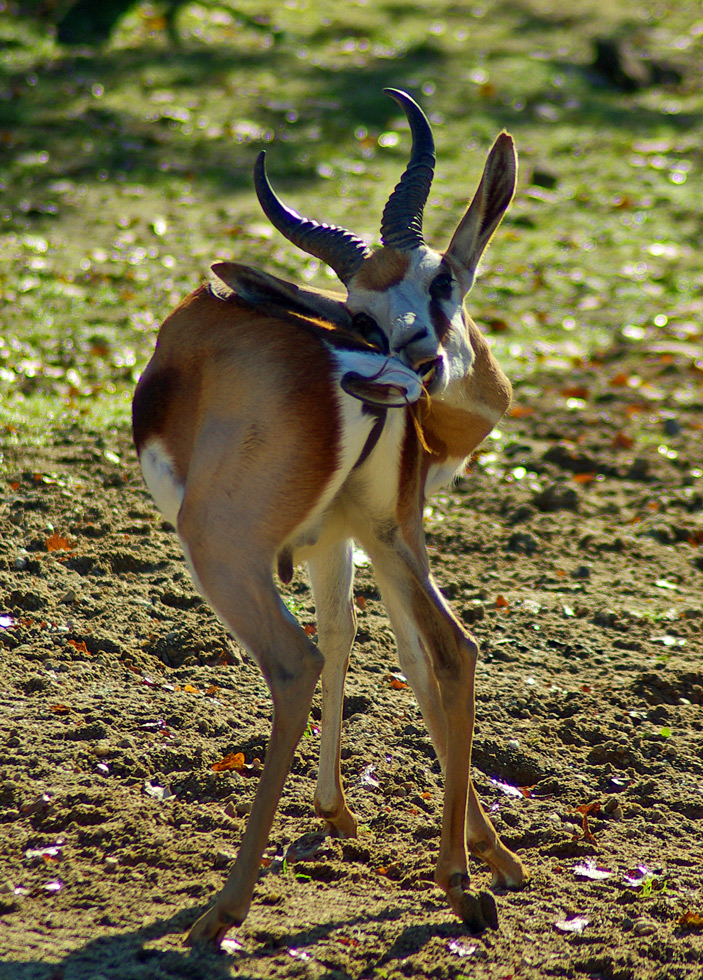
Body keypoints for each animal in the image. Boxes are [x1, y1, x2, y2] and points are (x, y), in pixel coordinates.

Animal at [132, 90, 528, 948]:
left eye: (442, 279)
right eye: (360, 311)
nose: (417, 359)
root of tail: (364, 378)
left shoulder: (325, 544)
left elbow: (342, 640)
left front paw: (332, 813)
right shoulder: (360, 534)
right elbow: (381, 646)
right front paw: (485, 858)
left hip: (223, 551)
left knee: (294, 662)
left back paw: (223, 909)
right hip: (390, 534)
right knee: (453, 648)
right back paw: (460, 886)